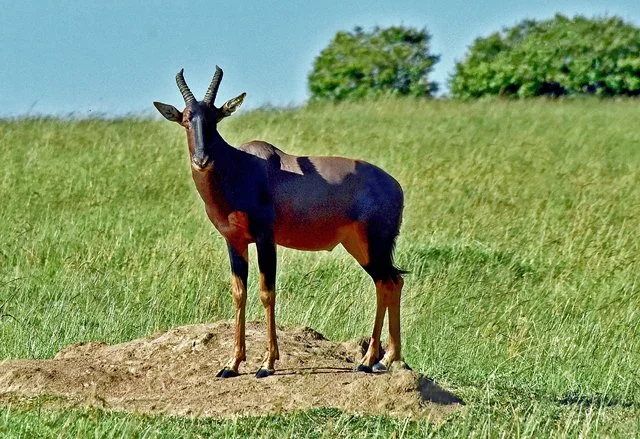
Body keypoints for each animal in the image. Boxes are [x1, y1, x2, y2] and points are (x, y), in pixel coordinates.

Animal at [153, 66, 407, 378]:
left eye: (216, 117)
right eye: (186, 119)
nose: (202, 160)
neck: (242, 167)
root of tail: (395, 187)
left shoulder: (265, 238)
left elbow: (267, 292)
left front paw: (267, 364)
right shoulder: (234, 242)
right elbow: (239, 293)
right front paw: (231, 365)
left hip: (373, 245)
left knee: (389, 282)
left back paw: (375, 359)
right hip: (359, 247)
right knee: (388, 282)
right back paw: (380, 359)